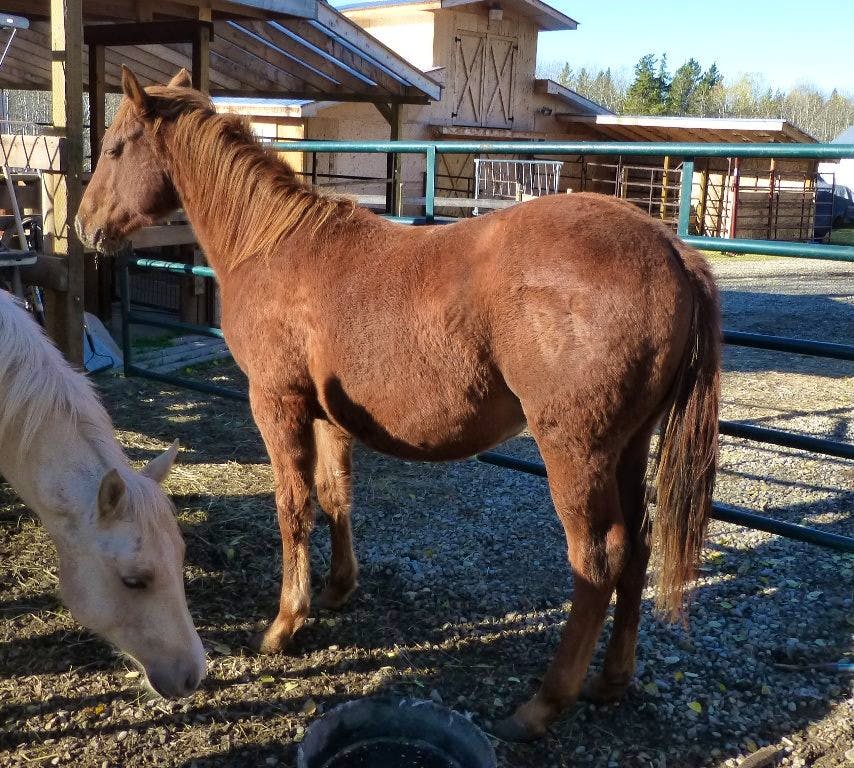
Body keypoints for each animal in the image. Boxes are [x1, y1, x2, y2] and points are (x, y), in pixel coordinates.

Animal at [75, 69, 724, 740]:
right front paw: (337, 590)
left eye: (116, 147)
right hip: (629, 448)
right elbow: (335, 495)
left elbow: (293, 507)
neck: (271, 246)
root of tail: (670, 250)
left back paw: (544, 703)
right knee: (639, 549)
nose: (81, 224)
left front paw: (284, 624)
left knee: (599, 559)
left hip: (576, 451)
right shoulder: (328, 416)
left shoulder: (277, 404)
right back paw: (612, 679)